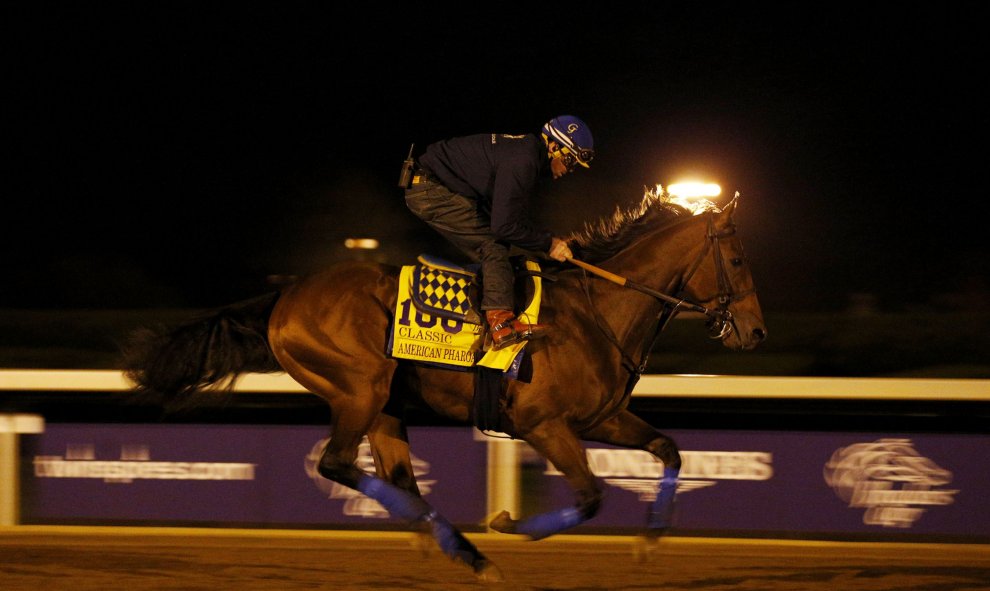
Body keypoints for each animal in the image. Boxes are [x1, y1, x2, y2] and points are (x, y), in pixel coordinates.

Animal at [124, 191, 772, 584]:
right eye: (739, 261)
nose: (756, 331)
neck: (600, 312)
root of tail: (285, 296)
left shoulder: (601, 419)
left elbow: (670, 449)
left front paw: (648, 544)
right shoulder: (543, 425)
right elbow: (589, 496)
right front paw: (507, 523)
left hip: (386, 405)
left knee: (397, 477)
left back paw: (458, 547)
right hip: (359, 389)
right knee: (338, 464)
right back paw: (466, 548)